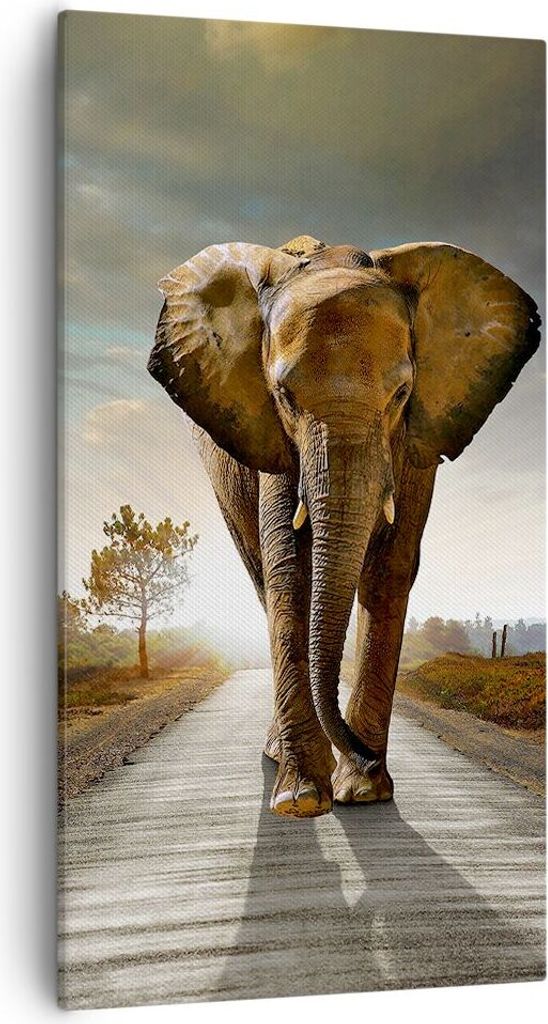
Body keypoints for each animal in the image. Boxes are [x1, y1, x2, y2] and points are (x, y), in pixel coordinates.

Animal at [147, 234, 540, 819]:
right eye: (284, 397)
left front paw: (365, 791)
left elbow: (390, 568)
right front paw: (304, 799)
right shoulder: (272, 436)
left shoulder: (418, 438)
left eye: (401, 395)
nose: (364, 754)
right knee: (263, 579)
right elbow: (290, 569)